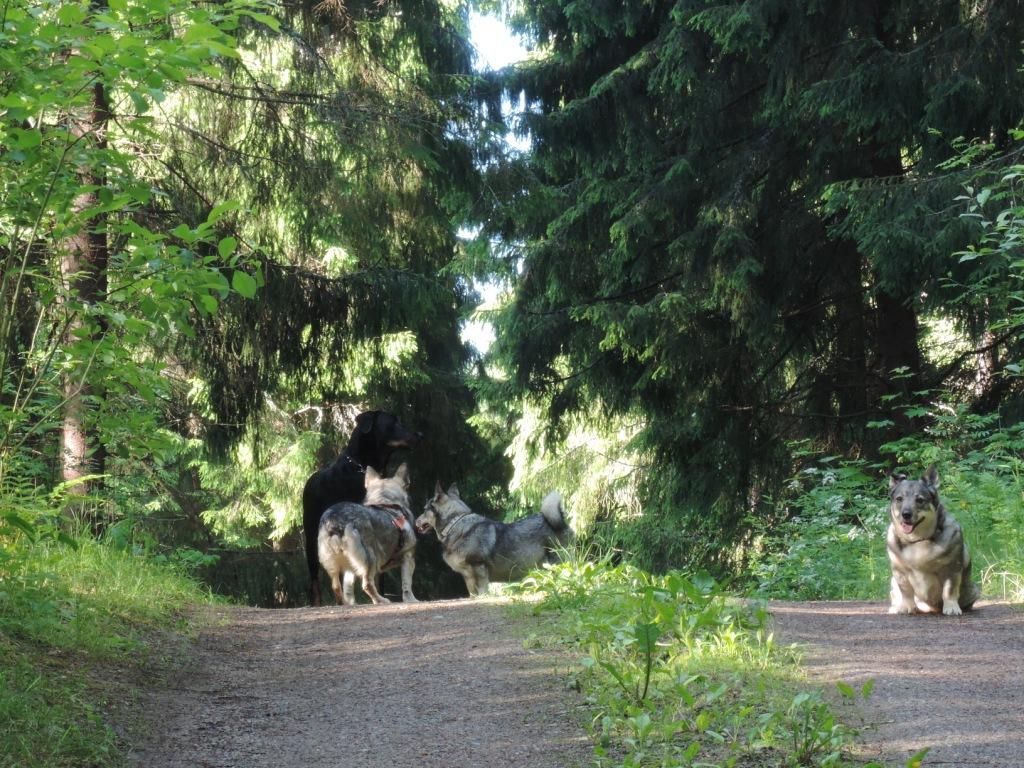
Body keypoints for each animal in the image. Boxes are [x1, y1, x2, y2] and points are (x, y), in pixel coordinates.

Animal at [317, 462, 417, 606]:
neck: (385, 502)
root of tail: (336, 520)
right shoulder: (408, 558)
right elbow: (407, 584)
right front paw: (411, 600)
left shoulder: (350, 568)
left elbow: (348, 588)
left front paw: (352, 602)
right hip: (371, 558)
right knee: (367, 584)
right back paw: (380, 600)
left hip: (336, 564)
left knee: (337, 586)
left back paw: (347, 604)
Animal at [417, 483, 577, 598]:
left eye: (425, 510)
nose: (415, 521)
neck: (455, 523)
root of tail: (559, 522)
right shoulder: (468, 576)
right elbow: (472, 593)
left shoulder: (479, 567)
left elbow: (482, 590)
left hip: (558, 562)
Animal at [884, 466, 978, 618]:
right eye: (899, 499)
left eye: (920, 500)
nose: (906, 514)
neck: (917, 540)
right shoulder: (899, 572)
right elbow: (906, 592)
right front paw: (905, 607)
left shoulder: (951, 570)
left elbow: (949, 591)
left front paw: (951, 607)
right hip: (893, 582)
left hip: (974, 589)